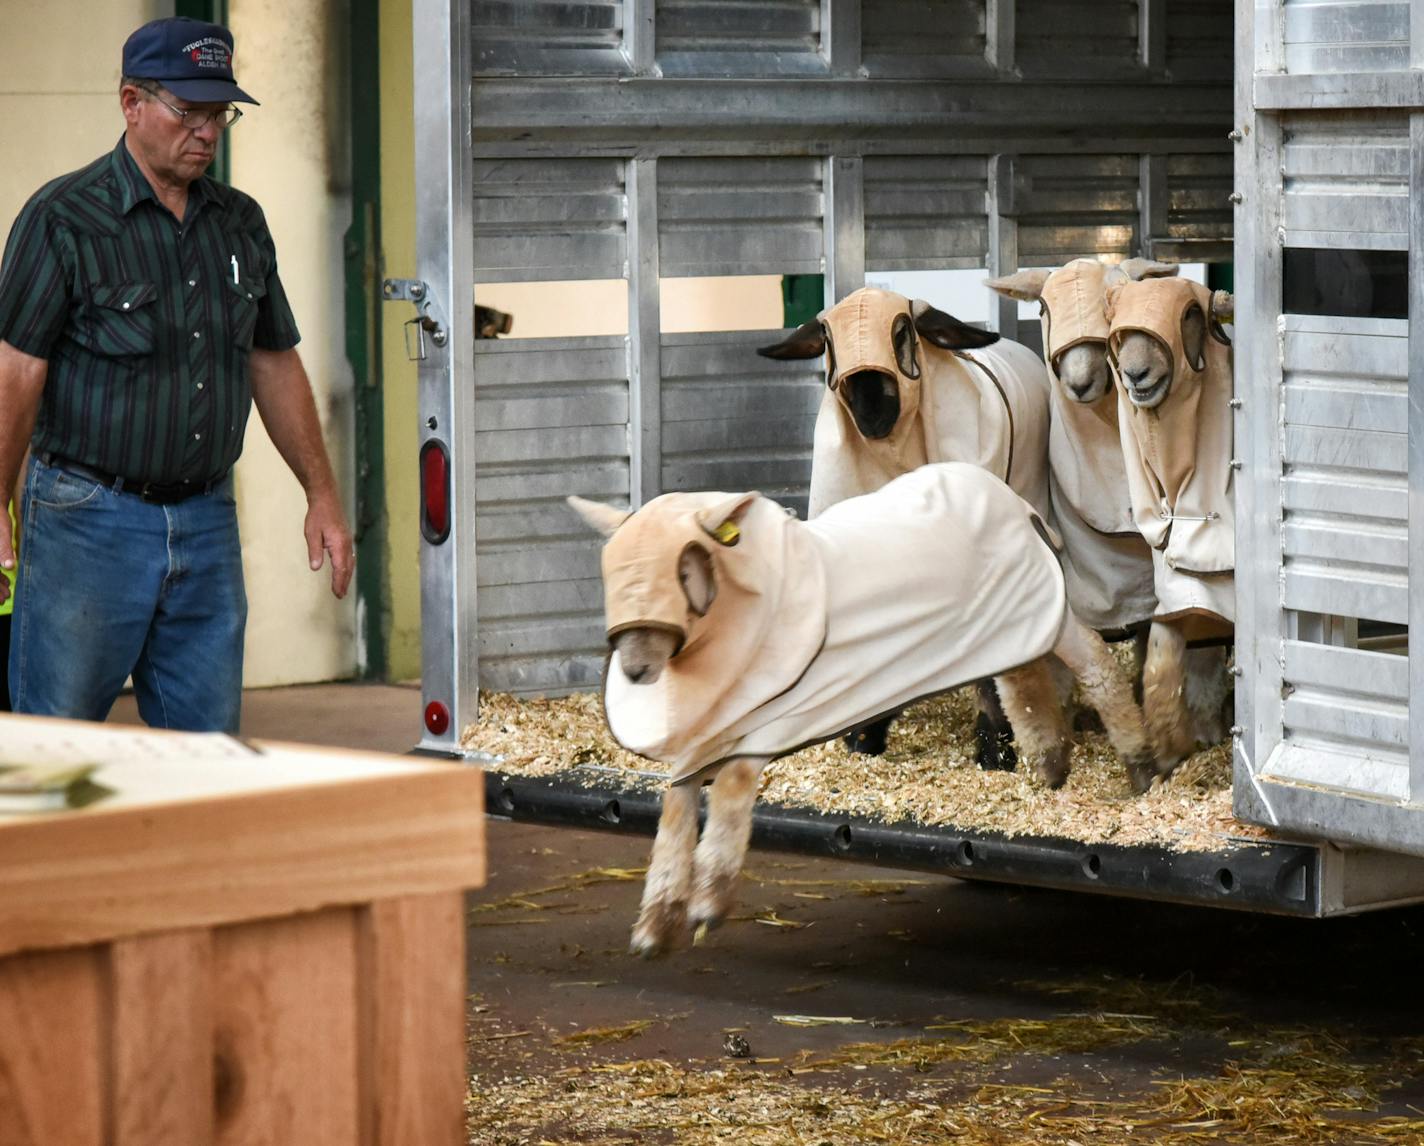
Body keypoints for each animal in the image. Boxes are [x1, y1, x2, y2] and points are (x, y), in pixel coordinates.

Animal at [566, 461, 1156, 950]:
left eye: (686, 567)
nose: (635, 671)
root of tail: (1008, 496)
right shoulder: (713, 728)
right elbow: (675, 806)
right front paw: (656, 922)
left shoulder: (776, 718)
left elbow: (731, 786)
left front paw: (709, 900)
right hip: (1009, 623)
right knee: (1022, 680)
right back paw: (1050, 760)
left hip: (1038, 608)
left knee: (1093, 661)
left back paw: (1138, 761)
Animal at [1099, 274, 1236, 768]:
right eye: (1118, 332)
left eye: (1192, 314)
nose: (1135, 374)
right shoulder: (1179, 575)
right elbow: (1163, 649)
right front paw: (1165, 748)